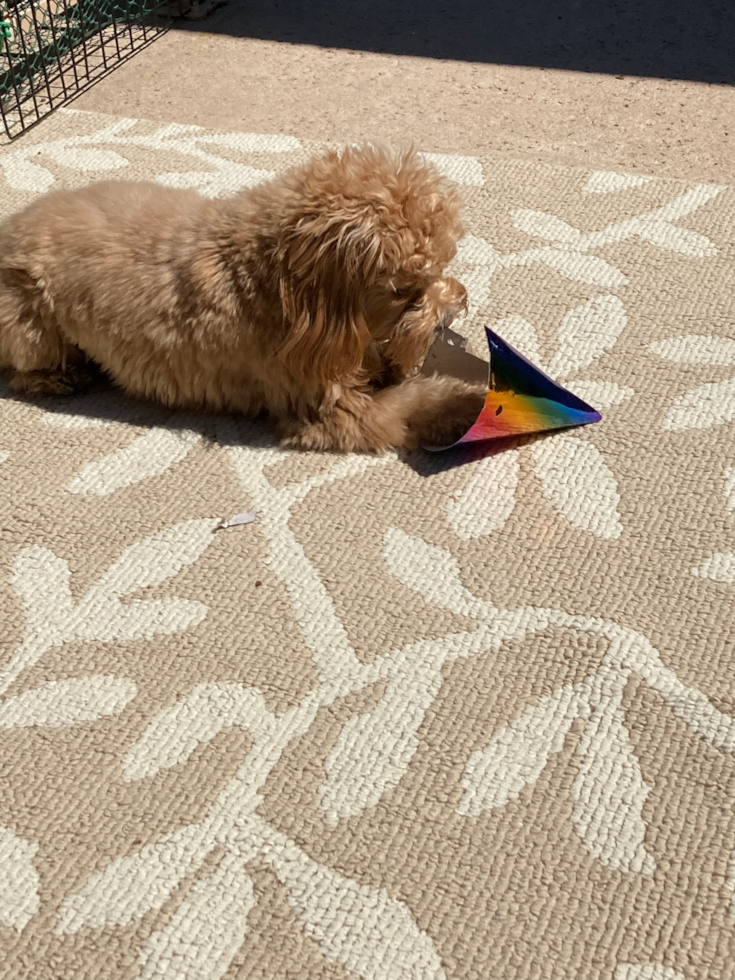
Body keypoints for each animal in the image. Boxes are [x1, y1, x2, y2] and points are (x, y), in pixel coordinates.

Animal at [0, 145, 484, 452]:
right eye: (404, 291)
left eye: (443, 265)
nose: (453, 308)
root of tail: (9, 229)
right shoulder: (328, 408)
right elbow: (411, 403)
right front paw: (470, 403)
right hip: (31, 325)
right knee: (22, 371)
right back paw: (60, 378)